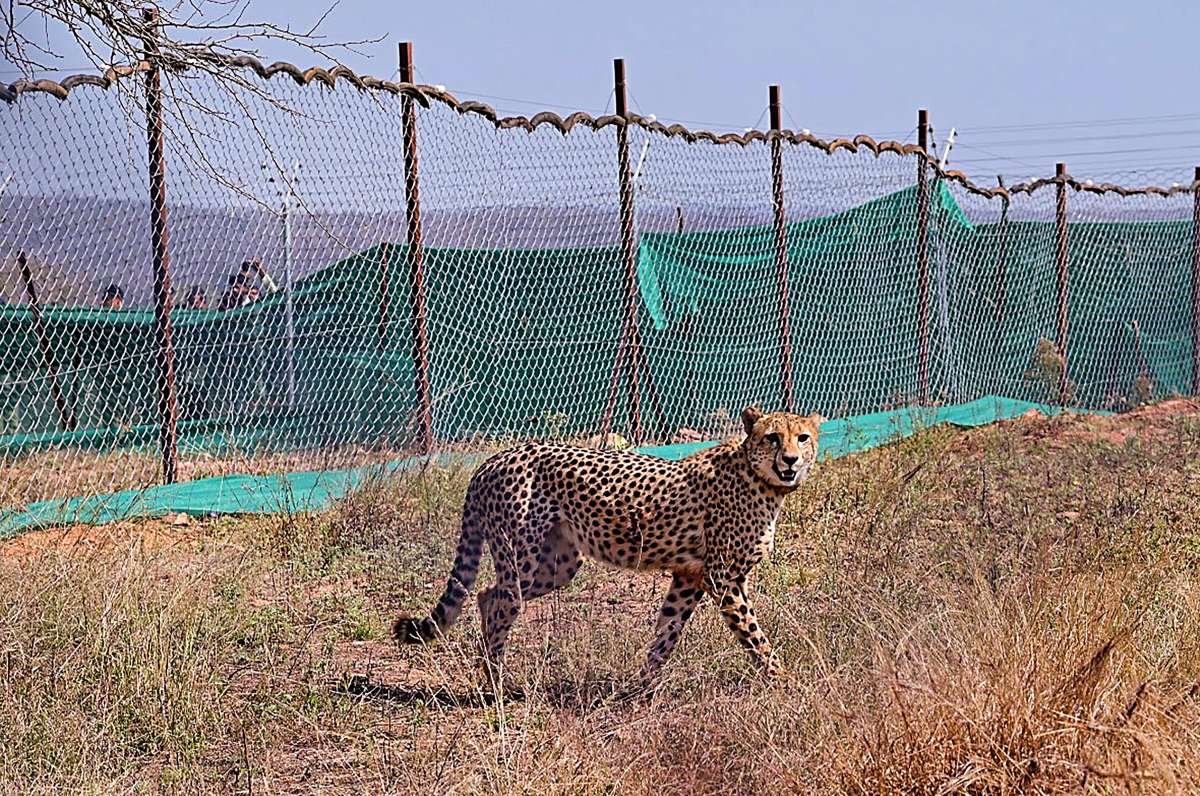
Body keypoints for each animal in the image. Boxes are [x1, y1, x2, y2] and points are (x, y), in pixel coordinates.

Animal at [396, 405, 825, 686]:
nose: (790, 459)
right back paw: (497, 685)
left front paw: (640, 689)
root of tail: (493, 460)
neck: (762, 479)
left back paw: (495, 675)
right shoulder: (723, 579)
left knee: (488, 595)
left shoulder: (689, 576)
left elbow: (666, 633)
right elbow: (755, 636)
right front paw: (785, 682)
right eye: (773, 438)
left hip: (557, 567)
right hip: (524, 559)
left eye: (802, 437)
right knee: (502, 603)